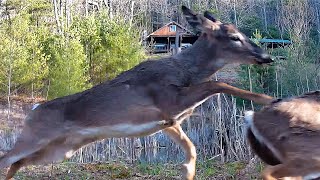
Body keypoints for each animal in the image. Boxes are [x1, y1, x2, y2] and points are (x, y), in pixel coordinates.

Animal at [0, 5, 276, 180]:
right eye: (234, 37)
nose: (267, 57)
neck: (183, 70)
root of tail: (33, 108)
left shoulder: (169, 121)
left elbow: (192, 148)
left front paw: (187, 171)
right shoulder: (167, 100)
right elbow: (217, 84)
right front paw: (269, 99)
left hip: (60, 149)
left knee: (16, 163)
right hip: (36, 136)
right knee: (6, 158)